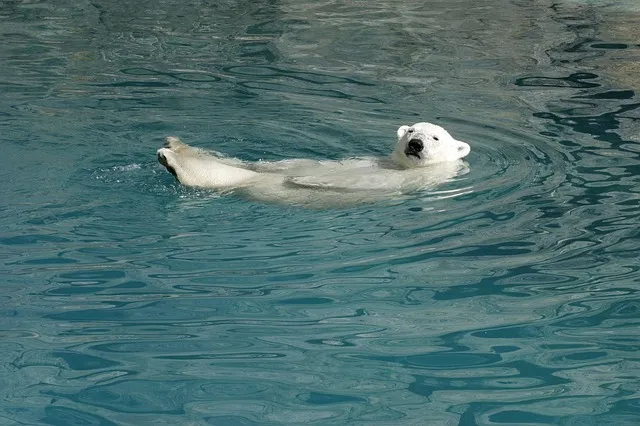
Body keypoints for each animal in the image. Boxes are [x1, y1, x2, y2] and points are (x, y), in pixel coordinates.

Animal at [156, 121, 470, 206]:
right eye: (410, 130)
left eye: (435, 137)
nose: (415, 144)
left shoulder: (411, 180)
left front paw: (308, 180)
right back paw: (174, 145)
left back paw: (173, 159)